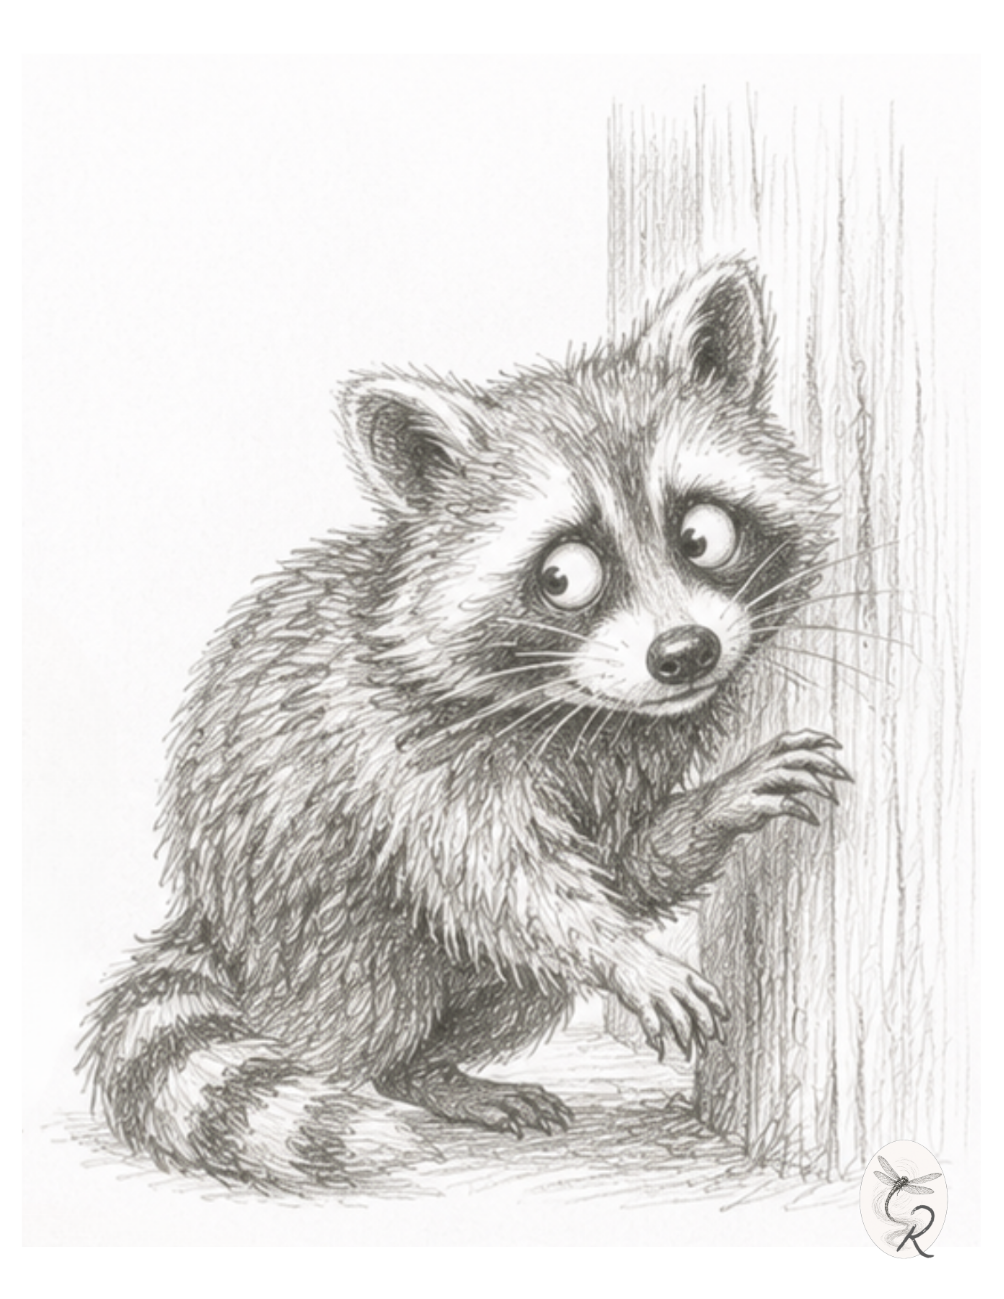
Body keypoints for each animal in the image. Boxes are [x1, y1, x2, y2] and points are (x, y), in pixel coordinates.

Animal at [79, 258, 848, 1194]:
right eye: (564, 576)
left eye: (702, 533)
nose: (685, 652)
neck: (585, 708)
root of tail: (215, 923)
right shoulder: (405, 754)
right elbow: (507, 882)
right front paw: (620, 950)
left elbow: (623, 865)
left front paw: (714, 807)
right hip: (308, 919)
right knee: (362, 1001)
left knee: (511, 984)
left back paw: (429, 1071)